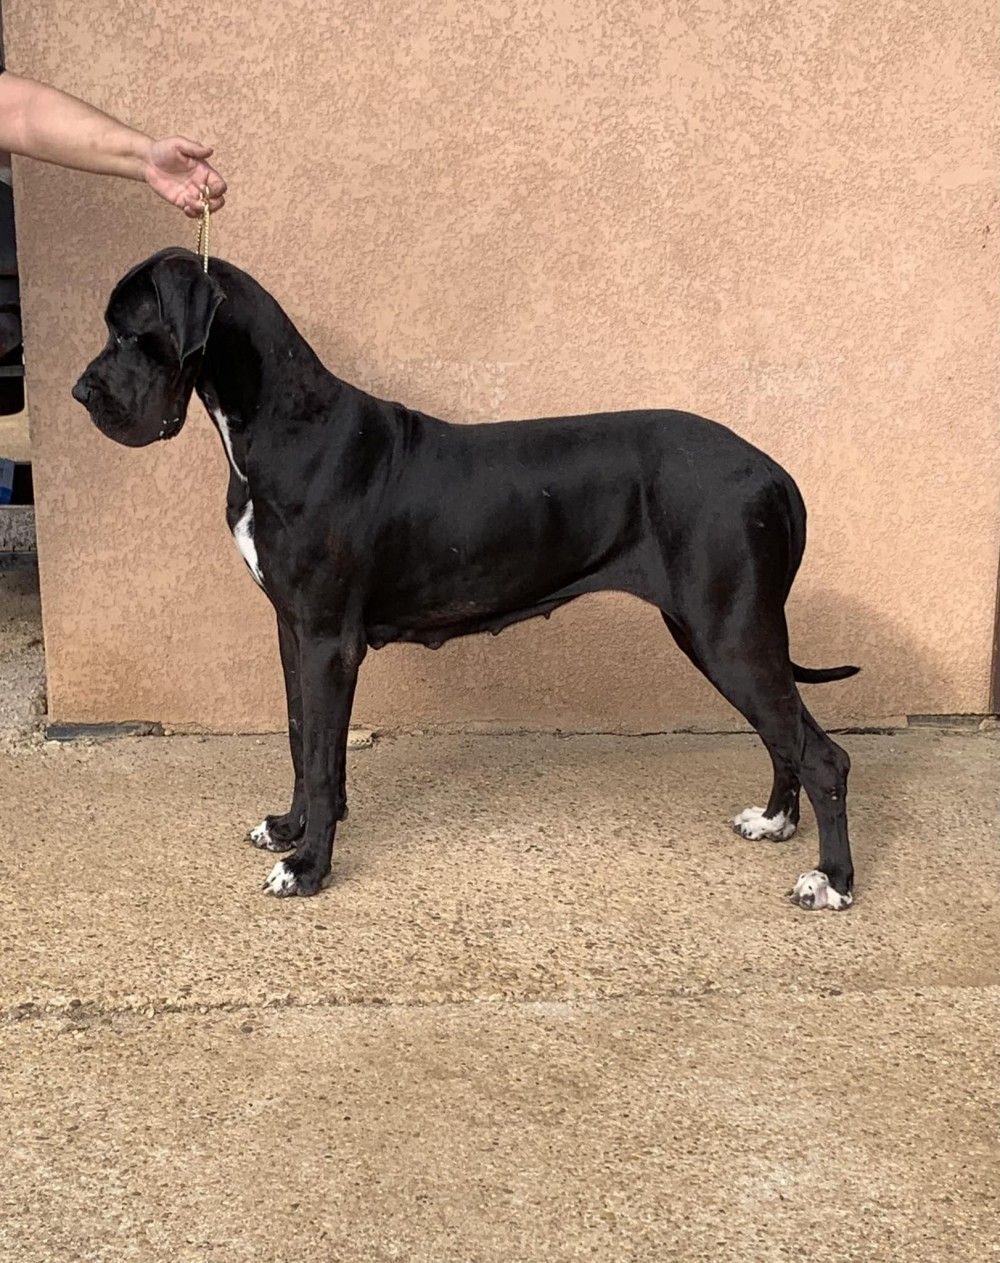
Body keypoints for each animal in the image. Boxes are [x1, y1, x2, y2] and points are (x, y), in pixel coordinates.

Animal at [72, 248, 859, 907]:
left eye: (128, 333)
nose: (81, 393)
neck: (281, 424)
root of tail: (774, 473)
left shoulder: (328, 641)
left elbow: (323, 760)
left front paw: (309, 867)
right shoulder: (292, 630)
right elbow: (302, 740)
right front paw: (291, 830)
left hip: (729, 632)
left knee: (822, 754)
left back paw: (832, 879)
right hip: (725, 634)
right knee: (785, 735)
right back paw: (774, 820)